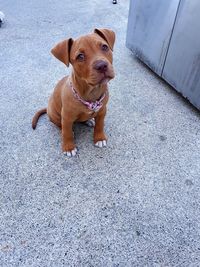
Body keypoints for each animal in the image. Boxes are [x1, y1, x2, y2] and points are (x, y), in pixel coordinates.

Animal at [31, 28, 115, 157]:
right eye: (80, 56)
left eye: (104, 47)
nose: (102, 66)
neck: (91, 91)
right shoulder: (66, 117)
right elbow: (67, 133)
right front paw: (69, 147)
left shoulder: (102, 110)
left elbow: (100, 125)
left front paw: (99, 138)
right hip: (55, 115)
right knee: (61, 126)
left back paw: (89, 120)